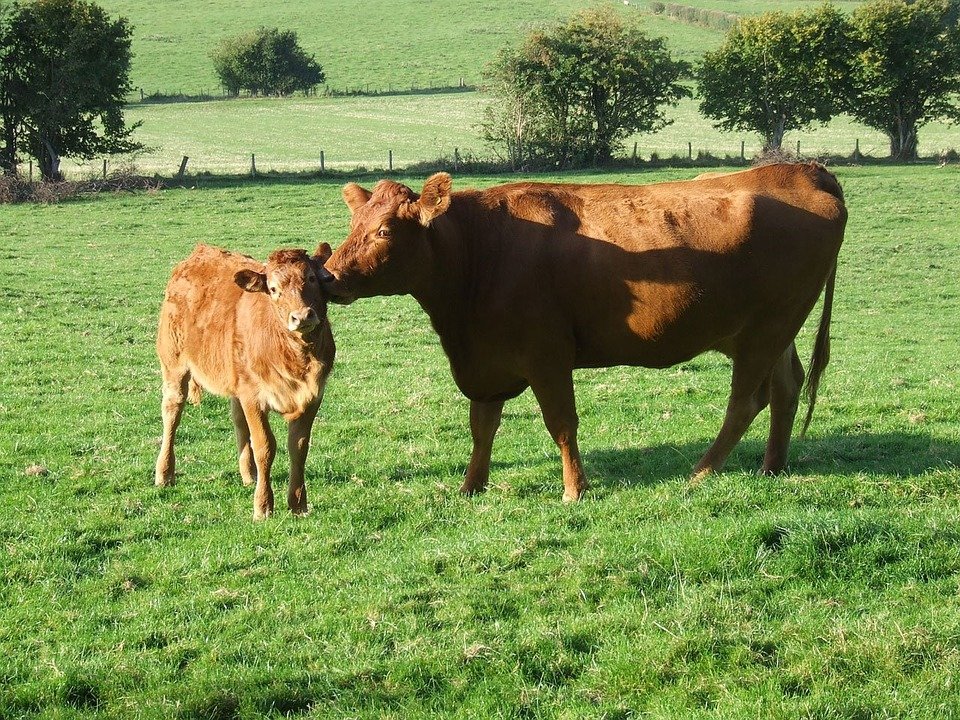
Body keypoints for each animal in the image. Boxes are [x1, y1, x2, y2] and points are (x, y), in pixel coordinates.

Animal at [154, 243, 335, 519]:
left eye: (312, 278)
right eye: (273, 289)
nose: (302, 316)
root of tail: (198, 253)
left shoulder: (313, 396)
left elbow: (299, 447)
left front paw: (298, 504)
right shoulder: (254, 396)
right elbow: (265, 446)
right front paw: (263, 506)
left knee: (238, 419)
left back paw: (249, 474)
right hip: (174, 364)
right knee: (172, 412)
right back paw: (164, 473)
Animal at [322, 162, 846, 501]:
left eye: (385, 230)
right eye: (354, 224)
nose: (327, 276)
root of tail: (801, 169)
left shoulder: (547, 356)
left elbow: (561, 424)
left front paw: (574, 489)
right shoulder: (488, 359)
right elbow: (482, 427)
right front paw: (471, 486)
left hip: (767, 328)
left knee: (746, 401)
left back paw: (701, 473)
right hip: (771, 331)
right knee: (786, 387)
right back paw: (772, 467)